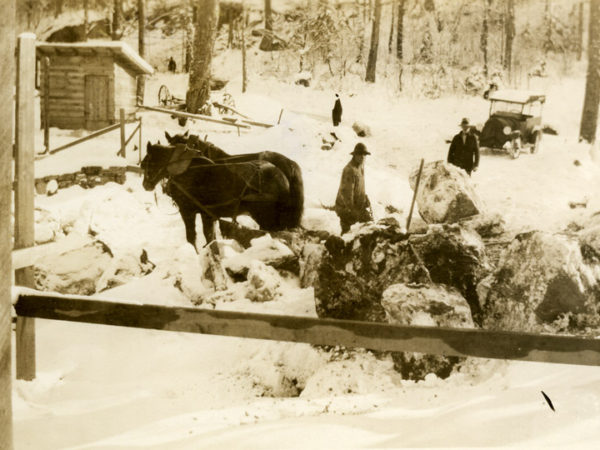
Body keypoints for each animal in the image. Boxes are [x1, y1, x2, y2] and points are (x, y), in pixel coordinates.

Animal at [141, 143, 290, 248]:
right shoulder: (207, 213)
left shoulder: (187, 211)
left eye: (149, 162)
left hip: (266, 218)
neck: (185, 171)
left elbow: (192, 237)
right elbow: (210, 237)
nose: (145, 185)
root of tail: (282, 178)